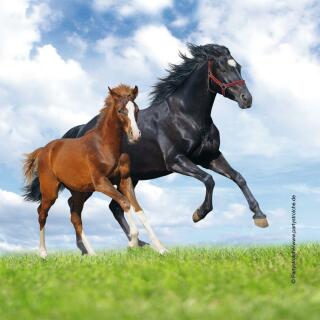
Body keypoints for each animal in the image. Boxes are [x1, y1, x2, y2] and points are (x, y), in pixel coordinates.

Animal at [23, 84, 166, 258]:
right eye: (120, 110)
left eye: (136, 109)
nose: (136, 135)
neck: (105, 146)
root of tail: (44, 150)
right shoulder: (101, 182)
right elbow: (125, 203)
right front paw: (132, 242)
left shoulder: (124, 180)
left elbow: (138, 209)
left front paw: (161, 249)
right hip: (50, 191)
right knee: (42, 213)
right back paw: (43, 253)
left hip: (78, 191)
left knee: (75, 217)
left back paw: (92, 253)